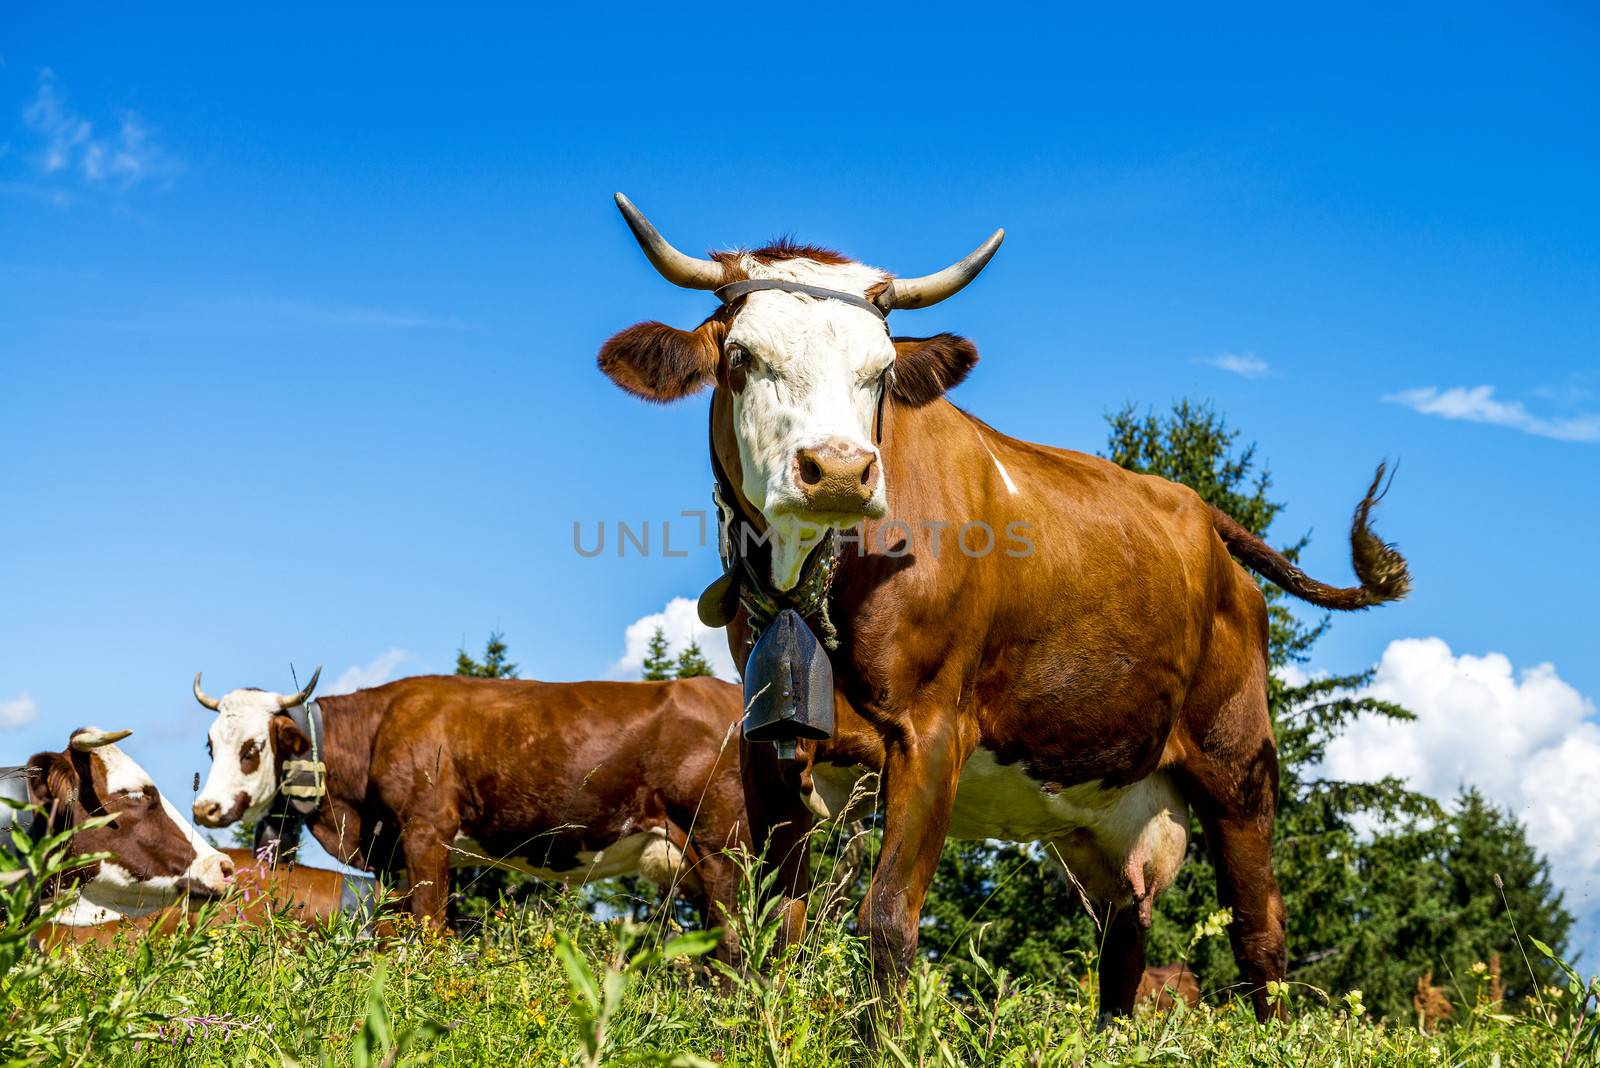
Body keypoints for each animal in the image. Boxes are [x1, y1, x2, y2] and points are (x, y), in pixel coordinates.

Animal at [190, 668, 752, 952]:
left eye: (251, 748)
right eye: (210, 745)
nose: (205, 808)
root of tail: (723, 690)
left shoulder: (425, 832)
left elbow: (431, 930)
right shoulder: (393, 857)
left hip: (721, 847)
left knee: (737, 939)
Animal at [595, 195, 1408, 1023]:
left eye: (880, 373)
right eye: (741, 358)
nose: (842, 470)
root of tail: (1198, 511)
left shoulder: (932, 729)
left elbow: (887, 918)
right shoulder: (768, 736)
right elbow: (767, 925)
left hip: (1239, 764)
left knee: (1260, 937)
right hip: (1100, 809)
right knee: (1124, 941)